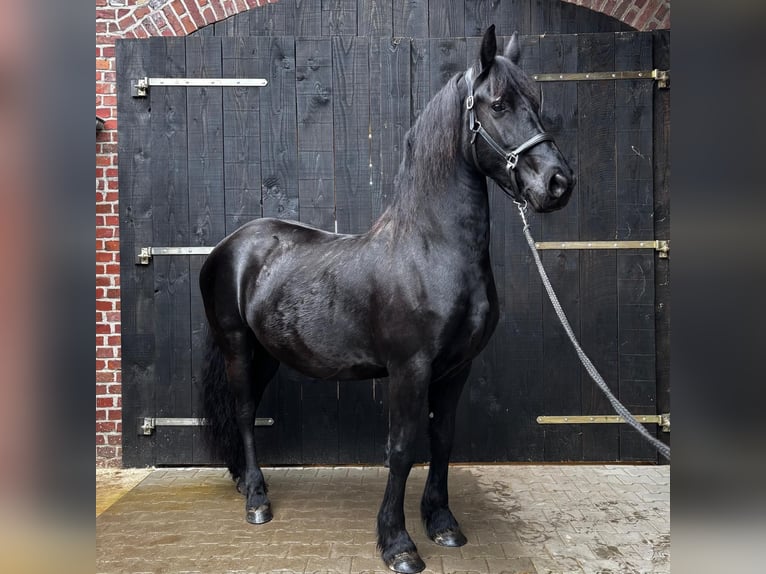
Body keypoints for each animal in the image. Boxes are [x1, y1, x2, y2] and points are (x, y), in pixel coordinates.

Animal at [200, 25, 574, 574]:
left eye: (539, 103)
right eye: (500, 104)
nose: (558, 182)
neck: (431, 248)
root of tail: (230, 246)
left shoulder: (455, 369)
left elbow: (442, 440)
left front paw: (442, 522)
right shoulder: (409, 369)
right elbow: (401, 449)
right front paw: (397, 543)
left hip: (268, 353)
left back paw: (248, 483)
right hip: (237, 347)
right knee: (245, 414)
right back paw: (257, 500)